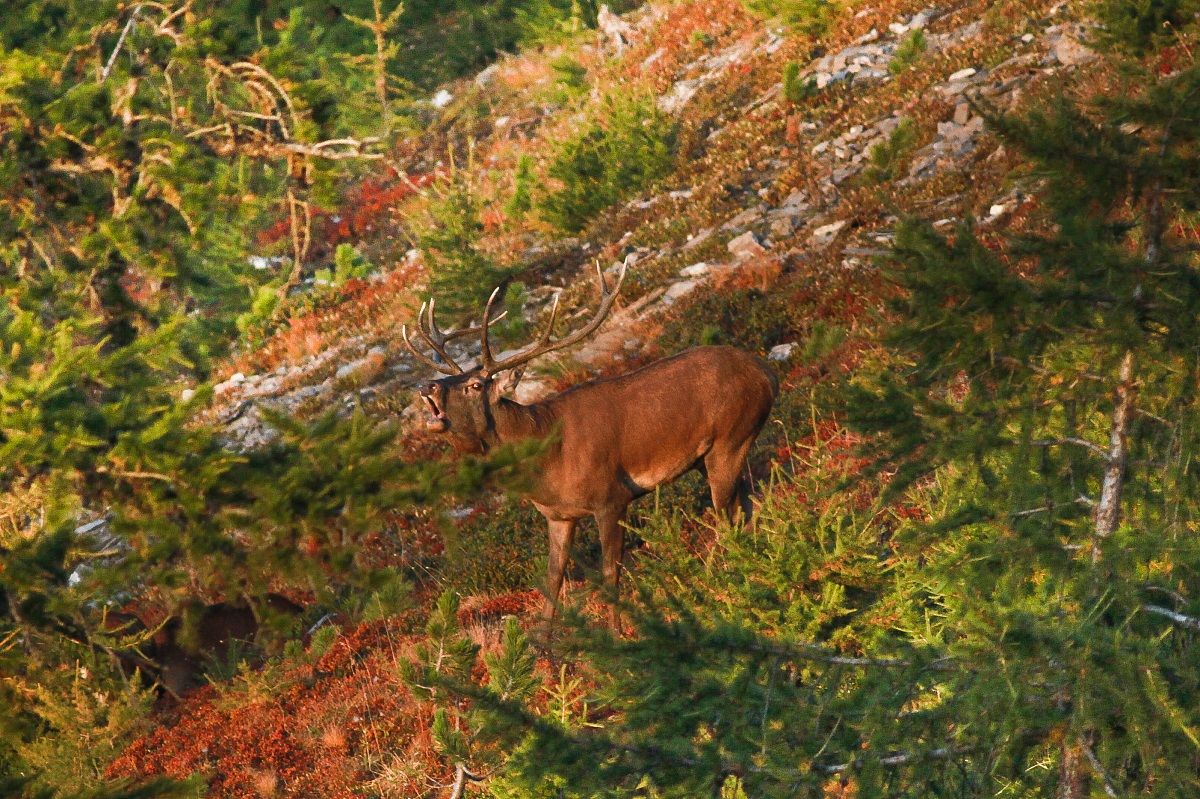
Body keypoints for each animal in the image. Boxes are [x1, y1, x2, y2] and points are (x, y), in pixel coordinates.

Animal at [403, 263, 777, 619]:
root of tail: (766, 372)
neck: (546, 466)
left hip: (730, 438)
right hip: (710, 456)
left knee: (729, 519)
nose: (426, 385)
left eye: (475, 385)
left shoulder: (612, 497)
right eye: (454, 378)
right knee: (750, 506)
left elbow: (611, 576)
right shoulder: (558, 516)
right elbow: (552, 584)